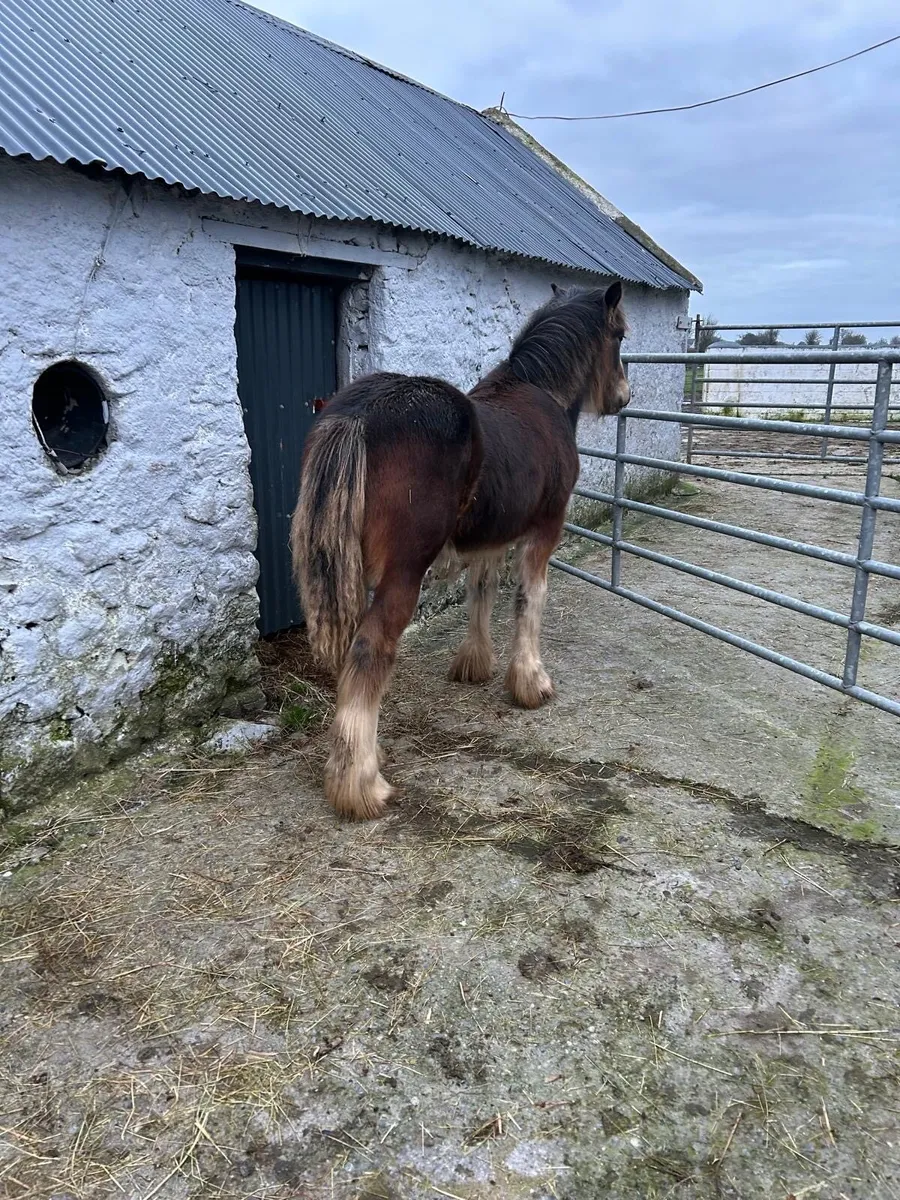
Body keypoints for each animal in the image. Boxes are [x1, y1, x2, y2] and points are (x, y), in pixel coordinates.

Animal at [291, 281, 630, 820]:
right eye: (619, 335)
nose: (623, 396)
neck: (543, 395)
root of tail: (358, 414)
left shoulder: (490, 540)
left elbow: (481, 592)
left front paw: (474, 664)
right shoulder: (544, 530)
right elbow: (529, 599)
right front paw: (531, 682)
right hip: (401, 576)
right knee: (369, 650)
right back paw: (360, 784)